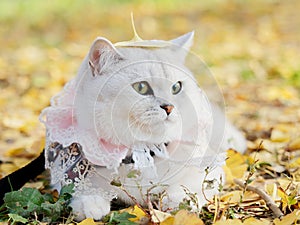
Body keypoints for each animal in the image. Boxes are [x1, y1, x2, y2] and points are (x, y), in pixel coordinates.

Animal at [39, 30, 246, 221]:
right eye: (141, 88)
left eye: (176, 87)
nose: (169, 107)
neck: (141, 152)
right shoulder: (64, 167)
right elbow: (79, 185)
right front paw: (90, 202)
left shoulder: (210, 169)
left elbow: (192, 184)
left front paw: (178, 201)